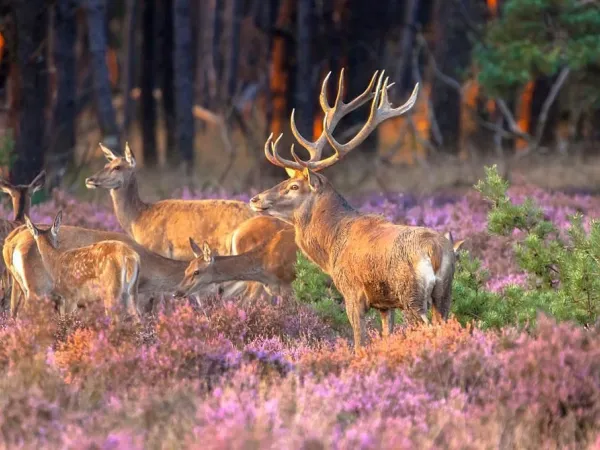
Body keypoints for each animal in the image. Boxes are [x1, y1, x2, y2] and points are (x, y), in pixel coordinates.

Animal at [247, 69, 454, 352]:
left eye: (294, 186)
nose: (255, 199)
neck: (331, 244)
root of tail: (435, 250)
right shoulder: (384, 304)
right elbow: (386, 334)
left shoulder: (352, 291)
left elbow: (359, 342)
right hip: (444, 292)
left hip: (411, 294)